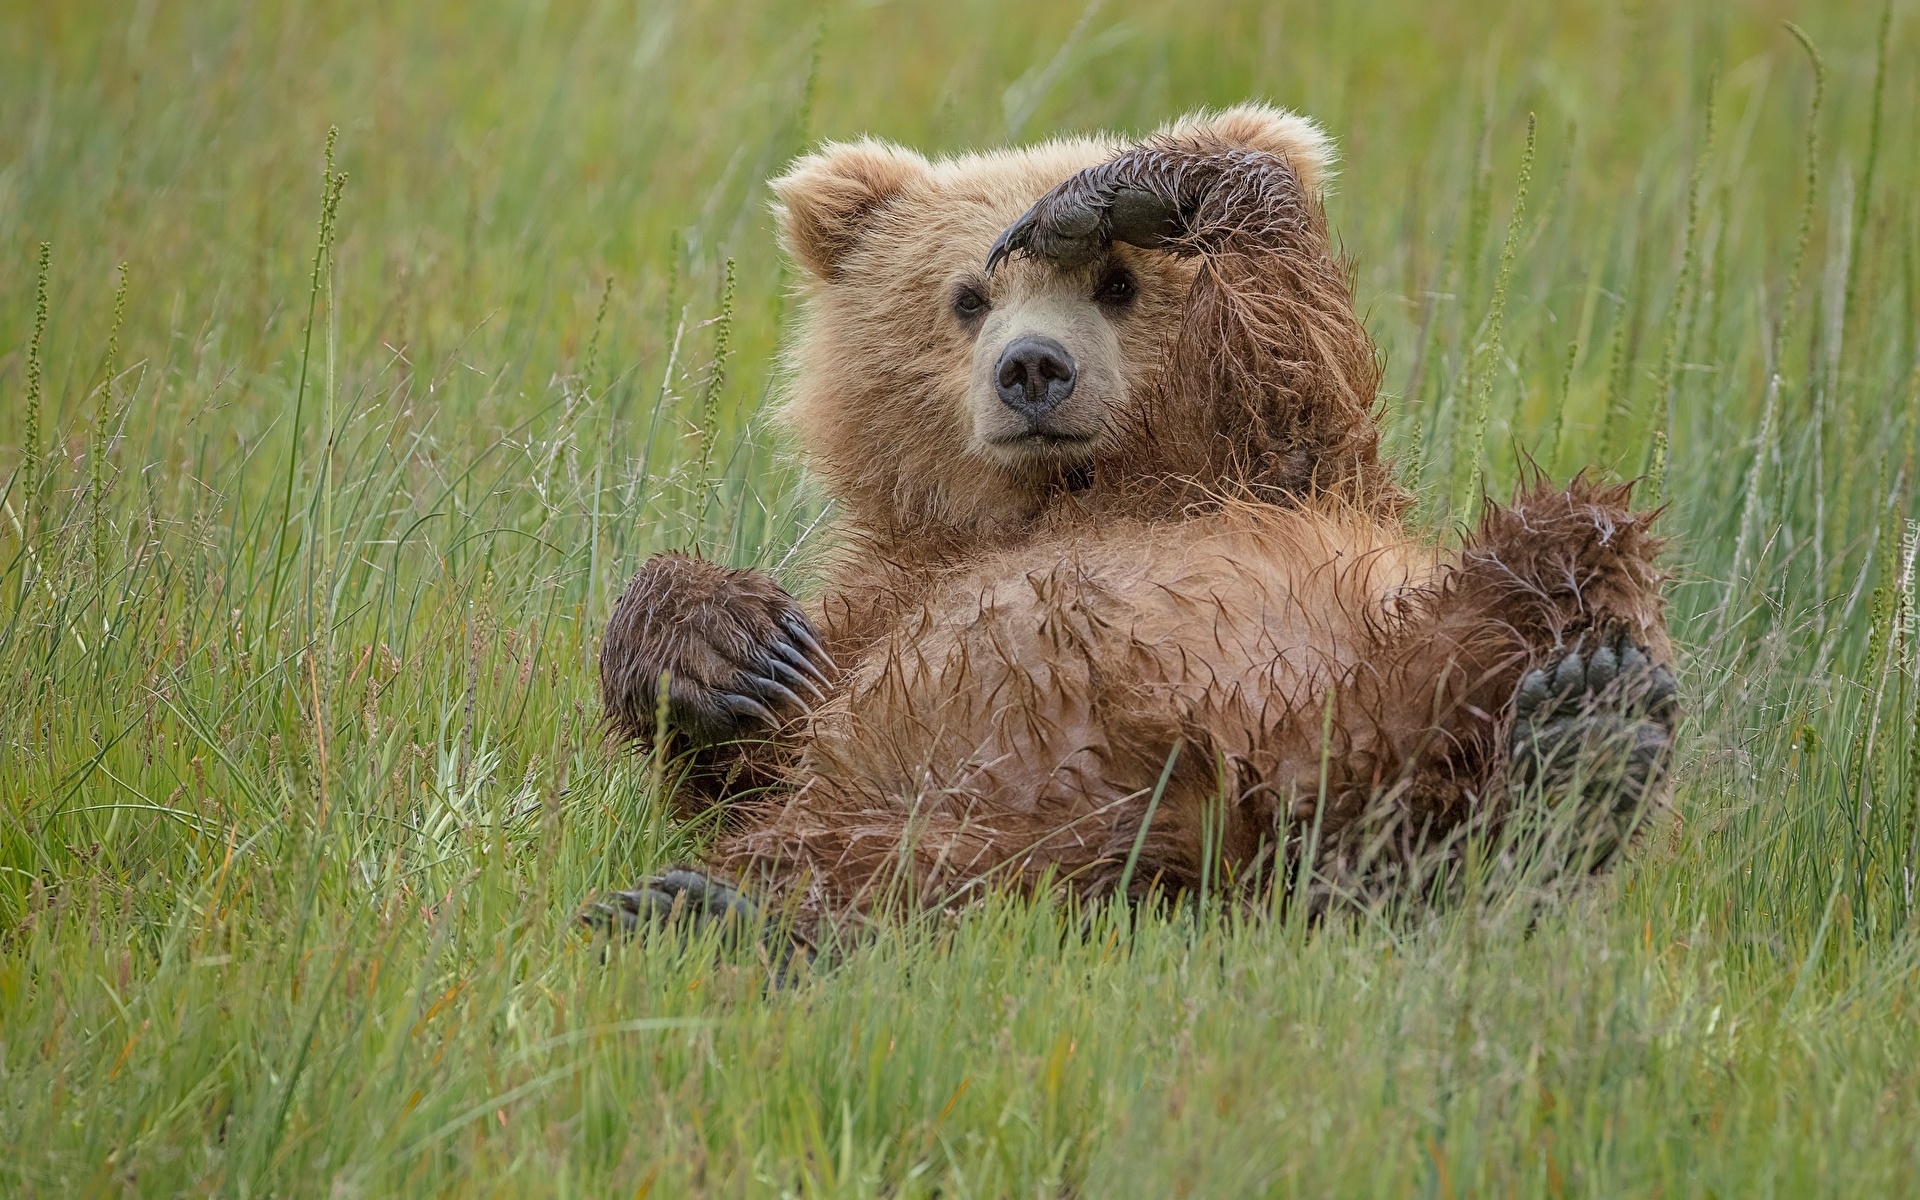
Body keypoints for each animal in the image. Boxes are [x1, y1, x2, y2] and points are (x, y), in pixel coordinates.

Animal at [591, 102, 1674, 940]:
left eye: (1119, 284)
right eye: (967, 297)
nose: (1033, 367)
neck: (1067, 491)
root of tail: (1237, 814)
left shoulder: (1286, 472)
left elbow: (1295, 347)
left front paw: (1122, 191)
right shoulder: (886, 598)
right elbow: (749, 754)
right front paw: (732, 645)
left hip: (1402, 652)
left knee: (1563, 546)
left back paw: (1585, 737)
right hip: (970, 811)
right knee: (890, 868)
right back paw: (702, 912)